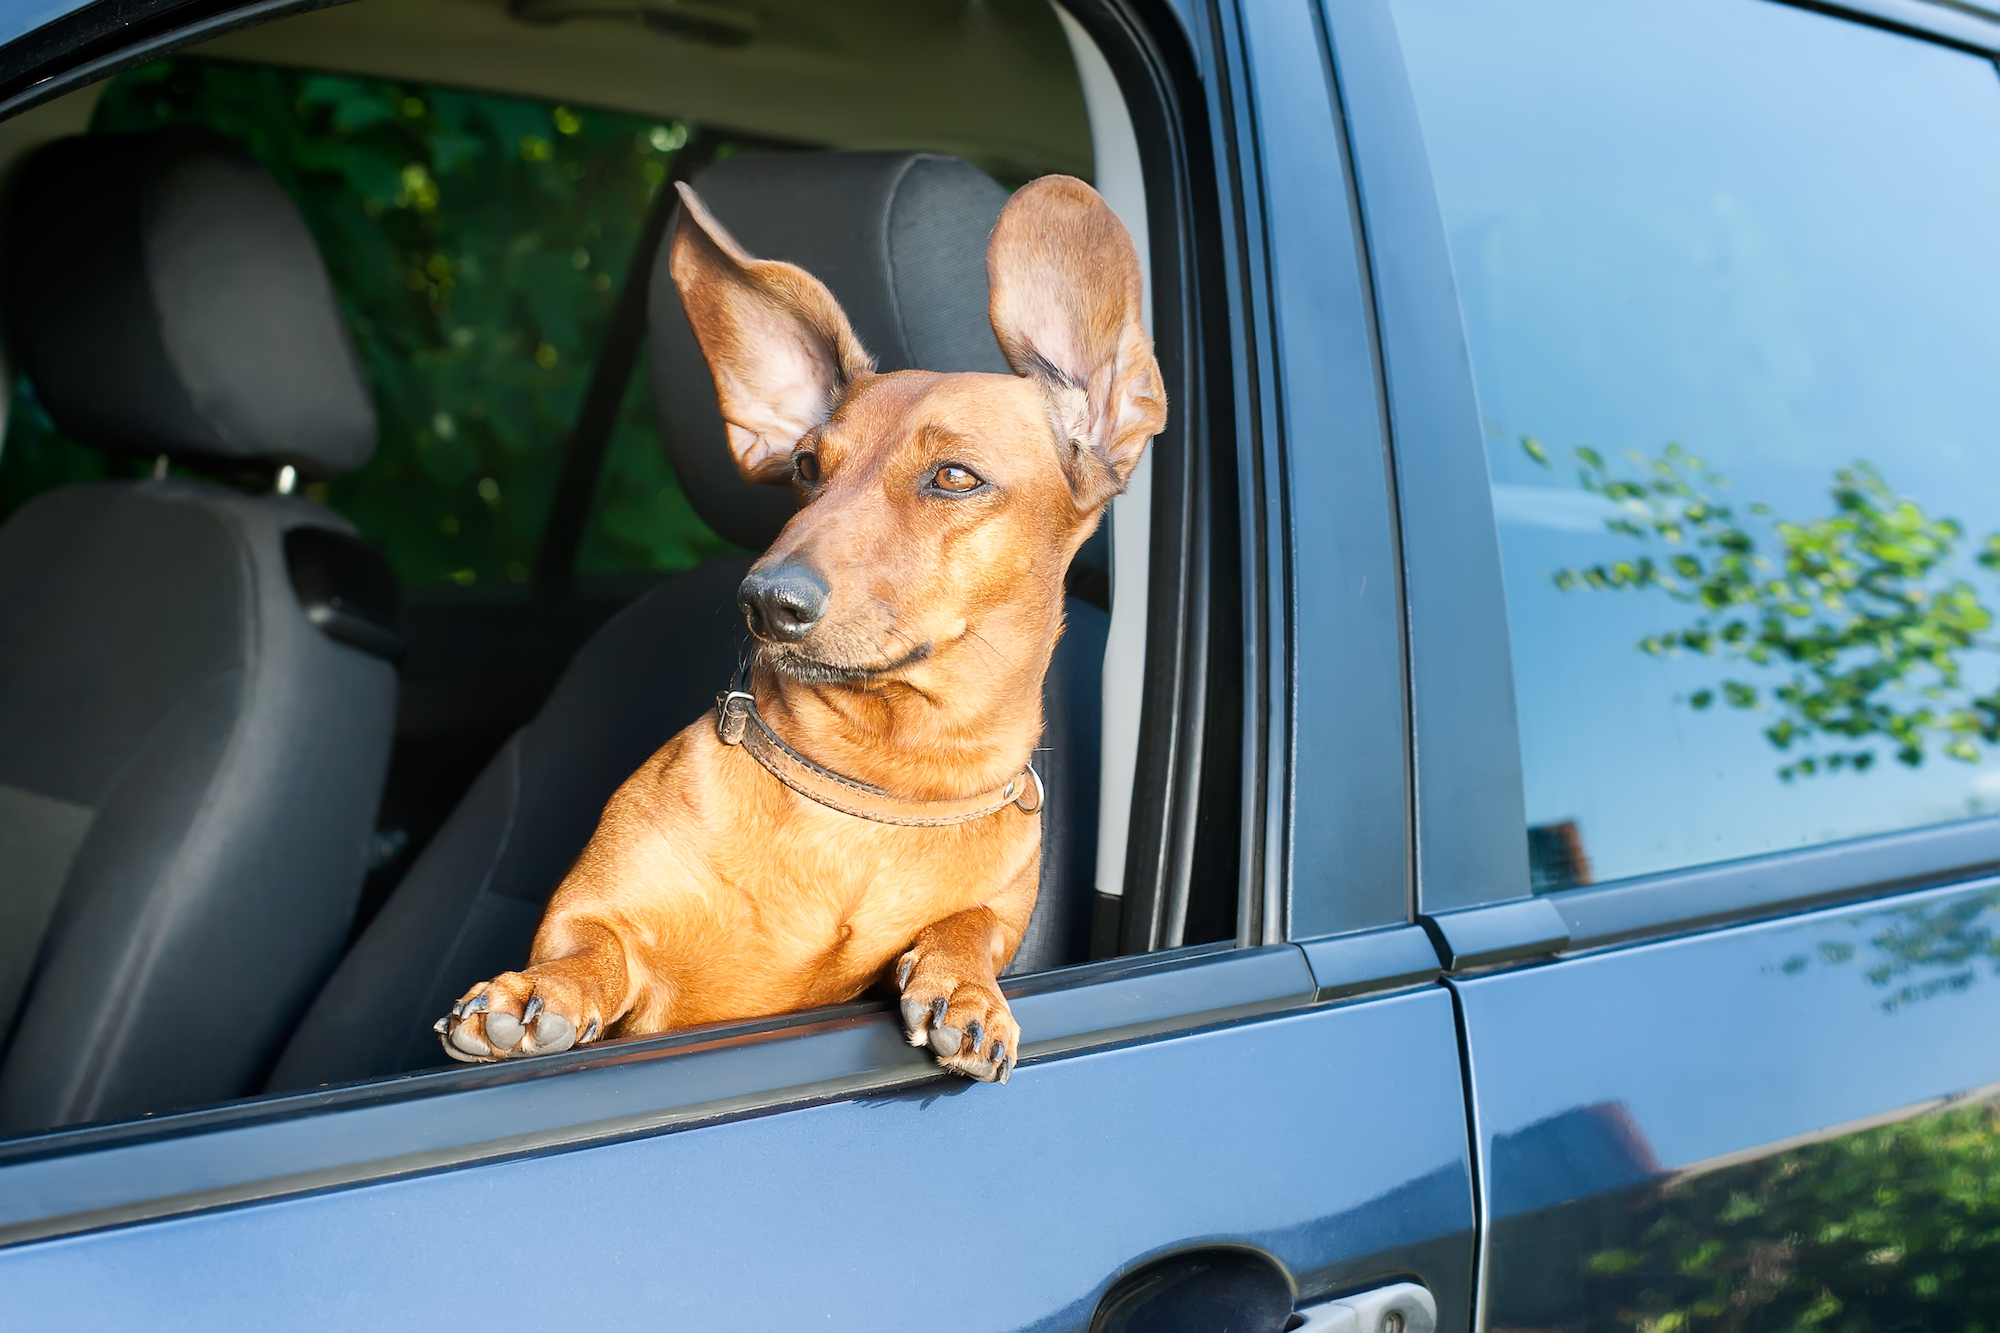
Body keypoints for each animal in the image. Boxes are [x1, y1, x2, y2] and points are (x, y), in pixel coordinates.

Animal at [430, 171, 1168, 1080]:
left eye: (955, 476)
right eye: (809, 467)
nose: (766, 600)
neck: (872, 783)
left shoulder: (994, 906)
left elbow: (972, 926)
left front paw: (965, 985)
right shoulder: (591, 915)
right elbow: (587, 947)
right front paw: (541, 991)